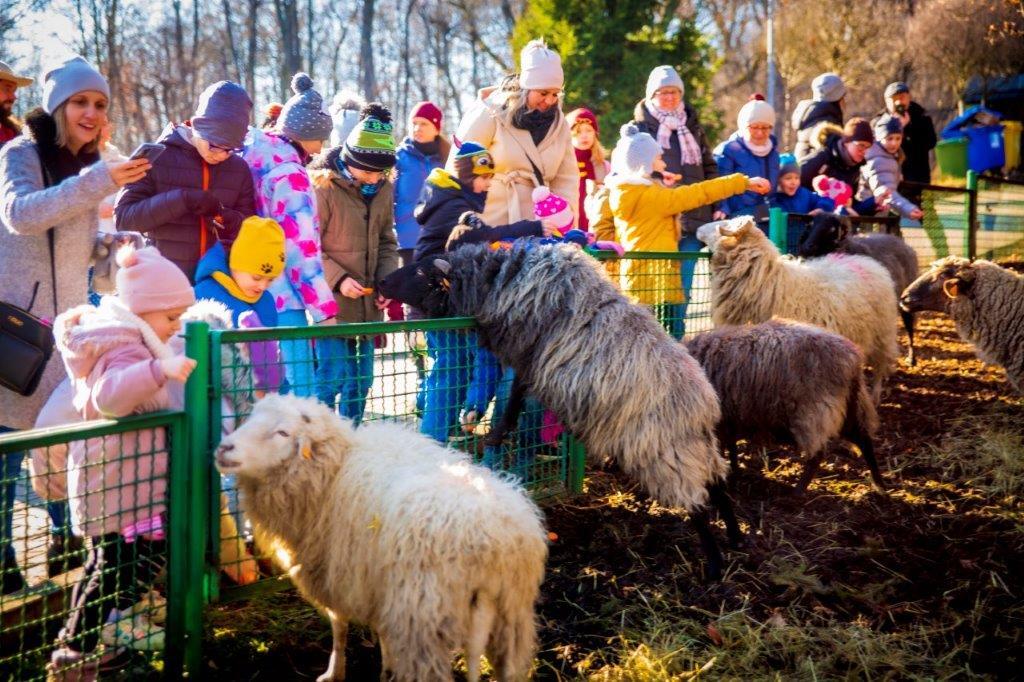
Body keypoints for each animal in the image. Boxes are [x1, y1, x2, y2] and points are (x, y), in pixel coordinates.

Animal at [216, 393, 548, 679]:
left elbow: (339, 626)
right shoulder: (376, 583)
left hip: (423, 620)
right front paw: (385, 667)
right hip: (511, 620)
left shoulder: (338, 572)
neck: (333, 472)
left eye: (283, 433)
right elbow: (380, 628)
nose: (223, 448)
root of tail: (494, 544)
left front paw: (335, 672)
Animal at [380, 241, 741, 577]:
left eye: (419, 272)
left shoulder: (528, 354)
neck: (499, 277)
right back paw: (736, 537)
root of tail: (703, 407)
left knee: (698, 503)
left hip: (662, 452)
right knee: (718, 484)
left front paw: (497, 433)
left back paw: (714, 564)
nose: (380, 282)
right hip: (692, 448)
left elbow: (516, 393)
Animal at [684, 317, 884, 489]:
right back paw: (879, 483)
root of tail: (853, 360)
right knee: (864, 439)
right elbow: (731, 448)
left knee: (818, 454)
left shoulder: (721, 423)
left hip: (814, 414)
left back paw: (798, 490)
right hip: (849, 409)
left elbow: (724, 448)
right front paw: (734, 471)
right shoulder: (730, 422)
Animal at [696, 215, 897, 401]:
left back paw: (876, 396)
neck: (767, 282)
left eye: (724, 224)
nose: (698, 229)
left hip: (882, 333)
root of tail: (868, 262)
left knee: (880, 367)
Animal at [790, 215, 921, 366]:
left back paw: (911, 358)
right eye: (810, 225)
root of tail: (902, 242)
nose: (807, 247)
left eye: (832, 229)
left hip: (906, 298)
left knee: (910, 327)